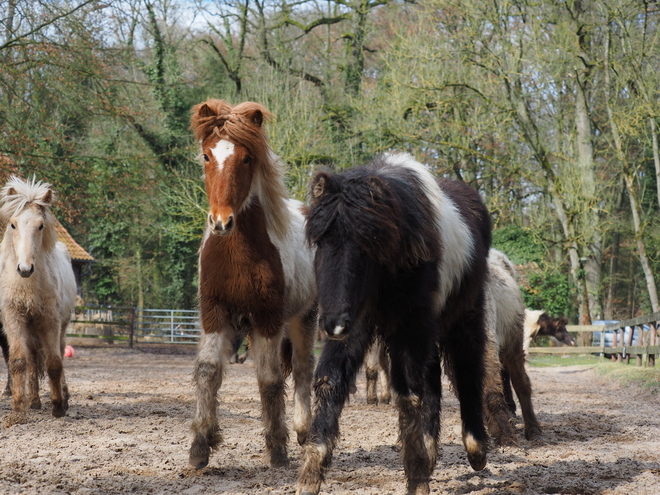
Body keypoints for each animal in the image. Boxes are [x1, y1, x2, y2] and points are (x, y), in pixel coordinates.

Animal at [0, 176, 76, 416]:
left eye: (40, 226)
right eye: (13, 224)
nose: (25, 269)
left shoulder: (50, 321)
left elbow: (54, 363)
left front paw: (58, 407)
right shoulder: (14, 319)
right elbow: (18, 361)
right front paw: (18, 406)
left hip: (60, 327)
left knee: (59, 353)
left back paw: (64, 396)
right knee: (32, 359)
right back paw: (33, 400)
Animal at [187, 99, 318, 470]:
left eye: (246, 158)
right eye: (206, 155)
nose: (221, 221)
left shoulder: (268, 318)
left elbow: (269, 379)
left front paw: (277, 449)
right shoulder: (213, 312)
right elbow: (208, 370)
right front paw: (200, 446)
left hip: (304, 317)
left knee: (303, 369)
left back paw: (303, 432)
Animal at [296, 154, 492, 495]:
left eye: (368, 243)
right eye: (321, 241)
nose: (332, 324)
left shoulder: (409, 327)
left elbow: (408, 394)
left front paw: (417, 480)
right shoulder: (358, 326)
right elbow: (331, 382)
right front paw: (309, 479)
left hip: (462, 317)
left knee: (467, 369)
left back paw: (476, 449)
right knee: (433, 383)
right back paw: (431, 453)